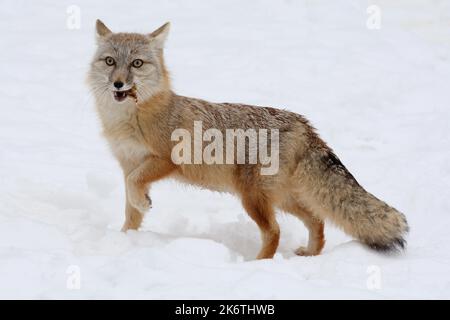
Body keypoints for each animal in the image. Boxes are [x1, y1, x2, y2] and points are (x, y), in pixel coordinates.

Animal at [87, 20, 408, 258]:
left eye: (137, 63)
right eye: (110, 61)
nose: (119, 84)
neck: (131, 119)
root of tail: (303, 124)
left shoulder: (165, 160)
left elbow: (135, 189)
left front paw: (143, 205)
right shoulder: (129, 165)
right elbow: (131, 210)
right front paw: (126, 240)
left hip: (253, 199)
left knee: (275, 232)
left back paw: (259, 263)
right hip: (281, 199)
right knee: (316, 219)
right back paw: (310, 254)